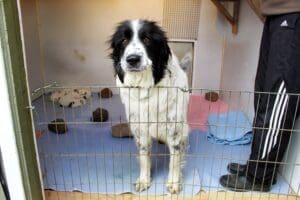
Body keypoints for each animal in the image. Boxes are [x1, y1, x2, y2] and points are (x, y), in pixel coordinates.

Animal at [110, 19, 189, 194]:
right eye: (123, 40)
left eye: (147, 39)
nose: (132, 59)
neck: (145, 87)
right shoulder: (140, 130)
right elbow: (144, 157)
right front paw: (144, 180)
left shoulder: (174, 130)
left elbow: (175, 159)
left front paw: (174, 182)